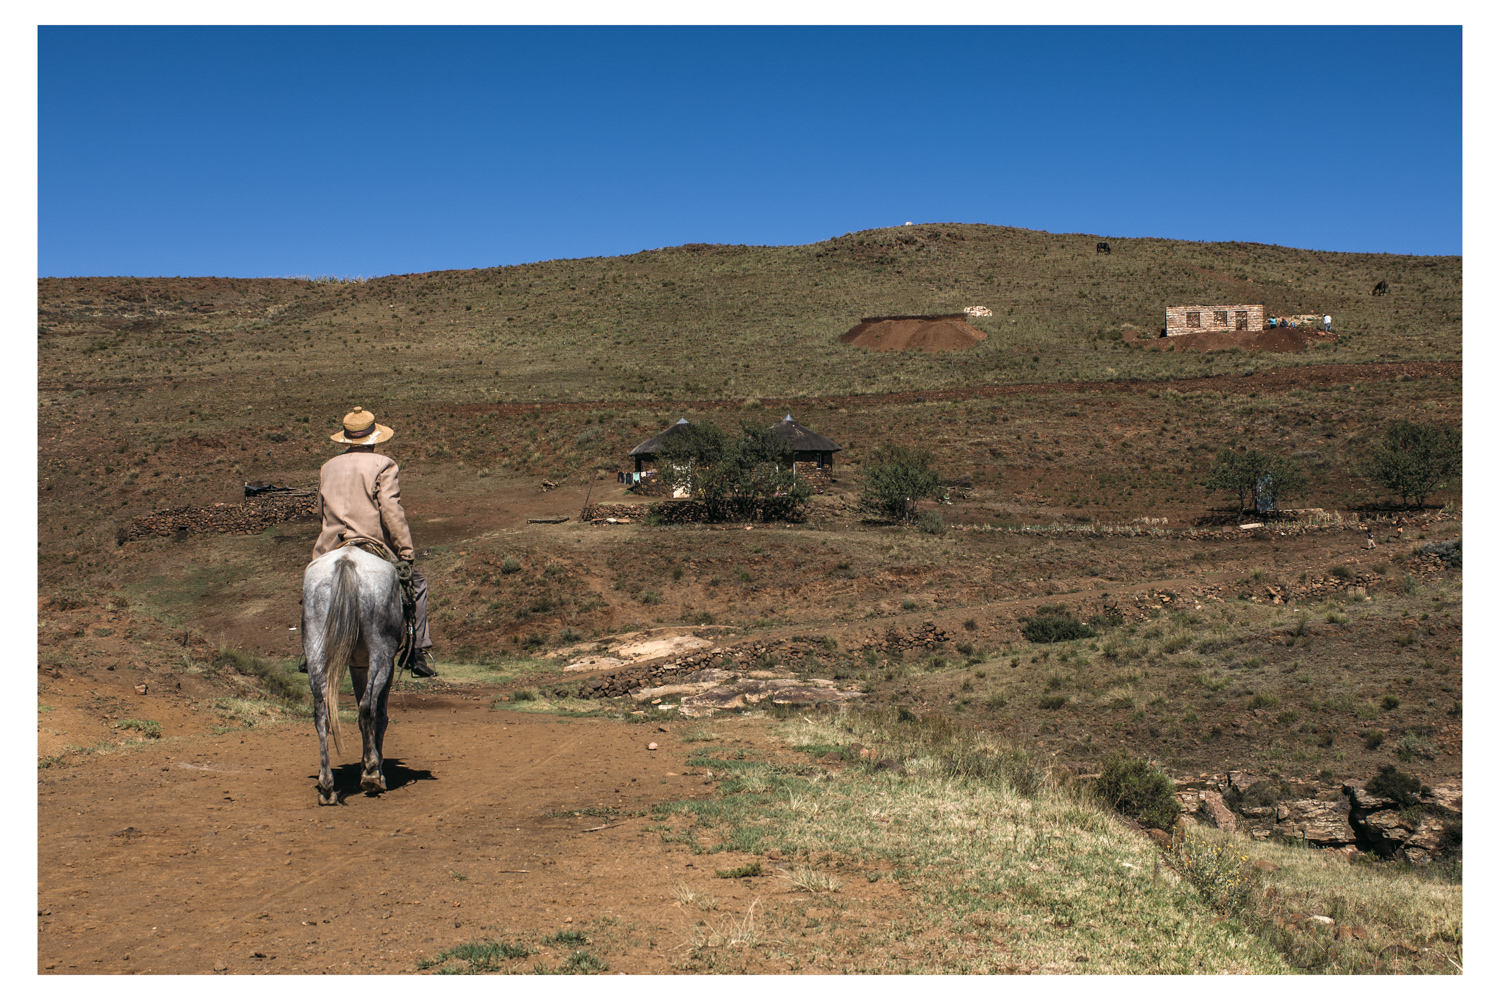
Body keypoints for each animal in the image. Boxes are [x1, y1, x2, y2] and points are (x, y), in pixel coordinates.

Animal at [301, 542, 405, 809]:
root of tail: (347, 561)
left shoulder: (357, 666)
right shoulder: (381, 664)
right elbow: (379, 714)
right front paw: (373, 768)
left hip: (316, 650)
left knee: (321, 714)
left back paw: (327, 787)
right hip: (382, 653)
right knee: (368, 707)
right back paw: (371, 775)